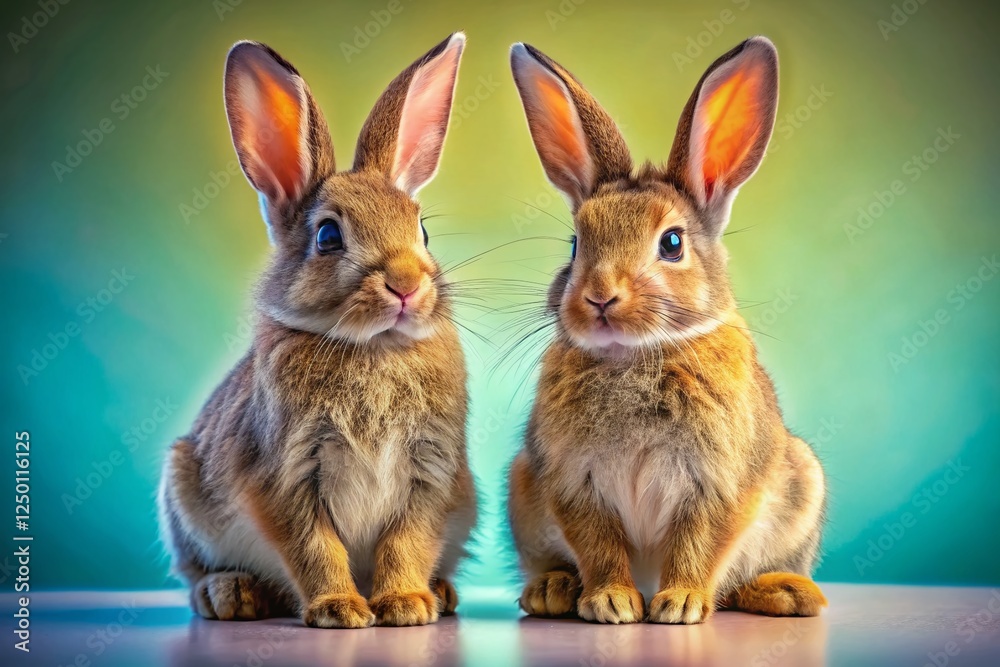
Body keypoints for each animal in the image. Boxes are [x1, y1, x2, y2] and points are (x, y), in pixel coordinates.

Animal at [157, 33, 476, 629]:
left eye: (422, 231)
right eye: (328, 236)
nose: (406, 284)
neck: (373, 347)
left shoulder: (431, 472)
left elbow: (407, 541)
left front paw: (405, 605)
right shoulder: (286, 476)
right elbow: (315, 548)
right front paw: (340, 610)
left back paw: (441, 594)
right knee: (195, 576)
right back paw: (230, 595)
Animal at [506, 37, 827, 625]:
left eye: (672, 243)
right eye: (576, 244)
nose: (600, 297)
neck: (635, 355)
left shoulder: (718, 484)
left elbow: (699, 543)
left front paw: (679, 604)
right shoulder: (574, 484)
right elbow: (599, 546)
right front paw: (611, 602)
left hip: (802, 483)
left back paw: (786, 593)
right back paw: (553, 591)